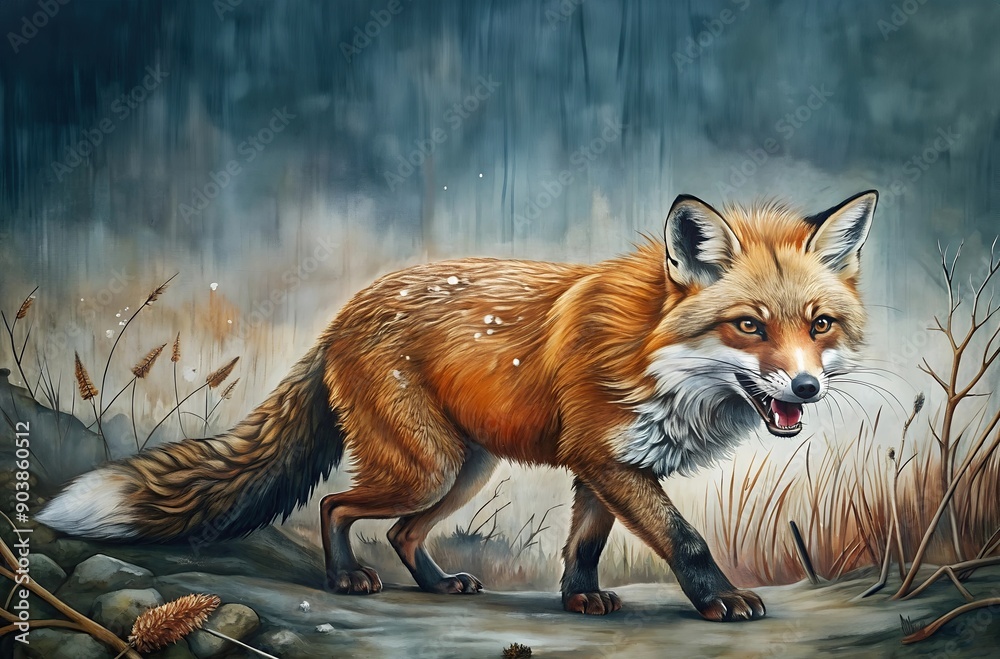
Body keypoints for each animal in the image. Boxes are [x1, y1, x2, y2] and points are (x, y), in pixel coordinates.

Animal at [38, 190, 877, 621]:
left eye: (819, 325)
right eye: (749, 326)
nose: (806, 388)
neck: (652, 353)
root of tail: (341, 314)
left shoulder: (601, 464)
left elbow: (584, 544)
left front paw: (579, 598)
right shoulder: (610, 458)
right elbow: (687, 539)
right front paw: (721, 597)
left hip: (464, 470)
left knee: (403, 532)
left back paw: (438, 585)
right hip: (429, 467)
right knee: (338, 505)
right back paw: (346, 578)